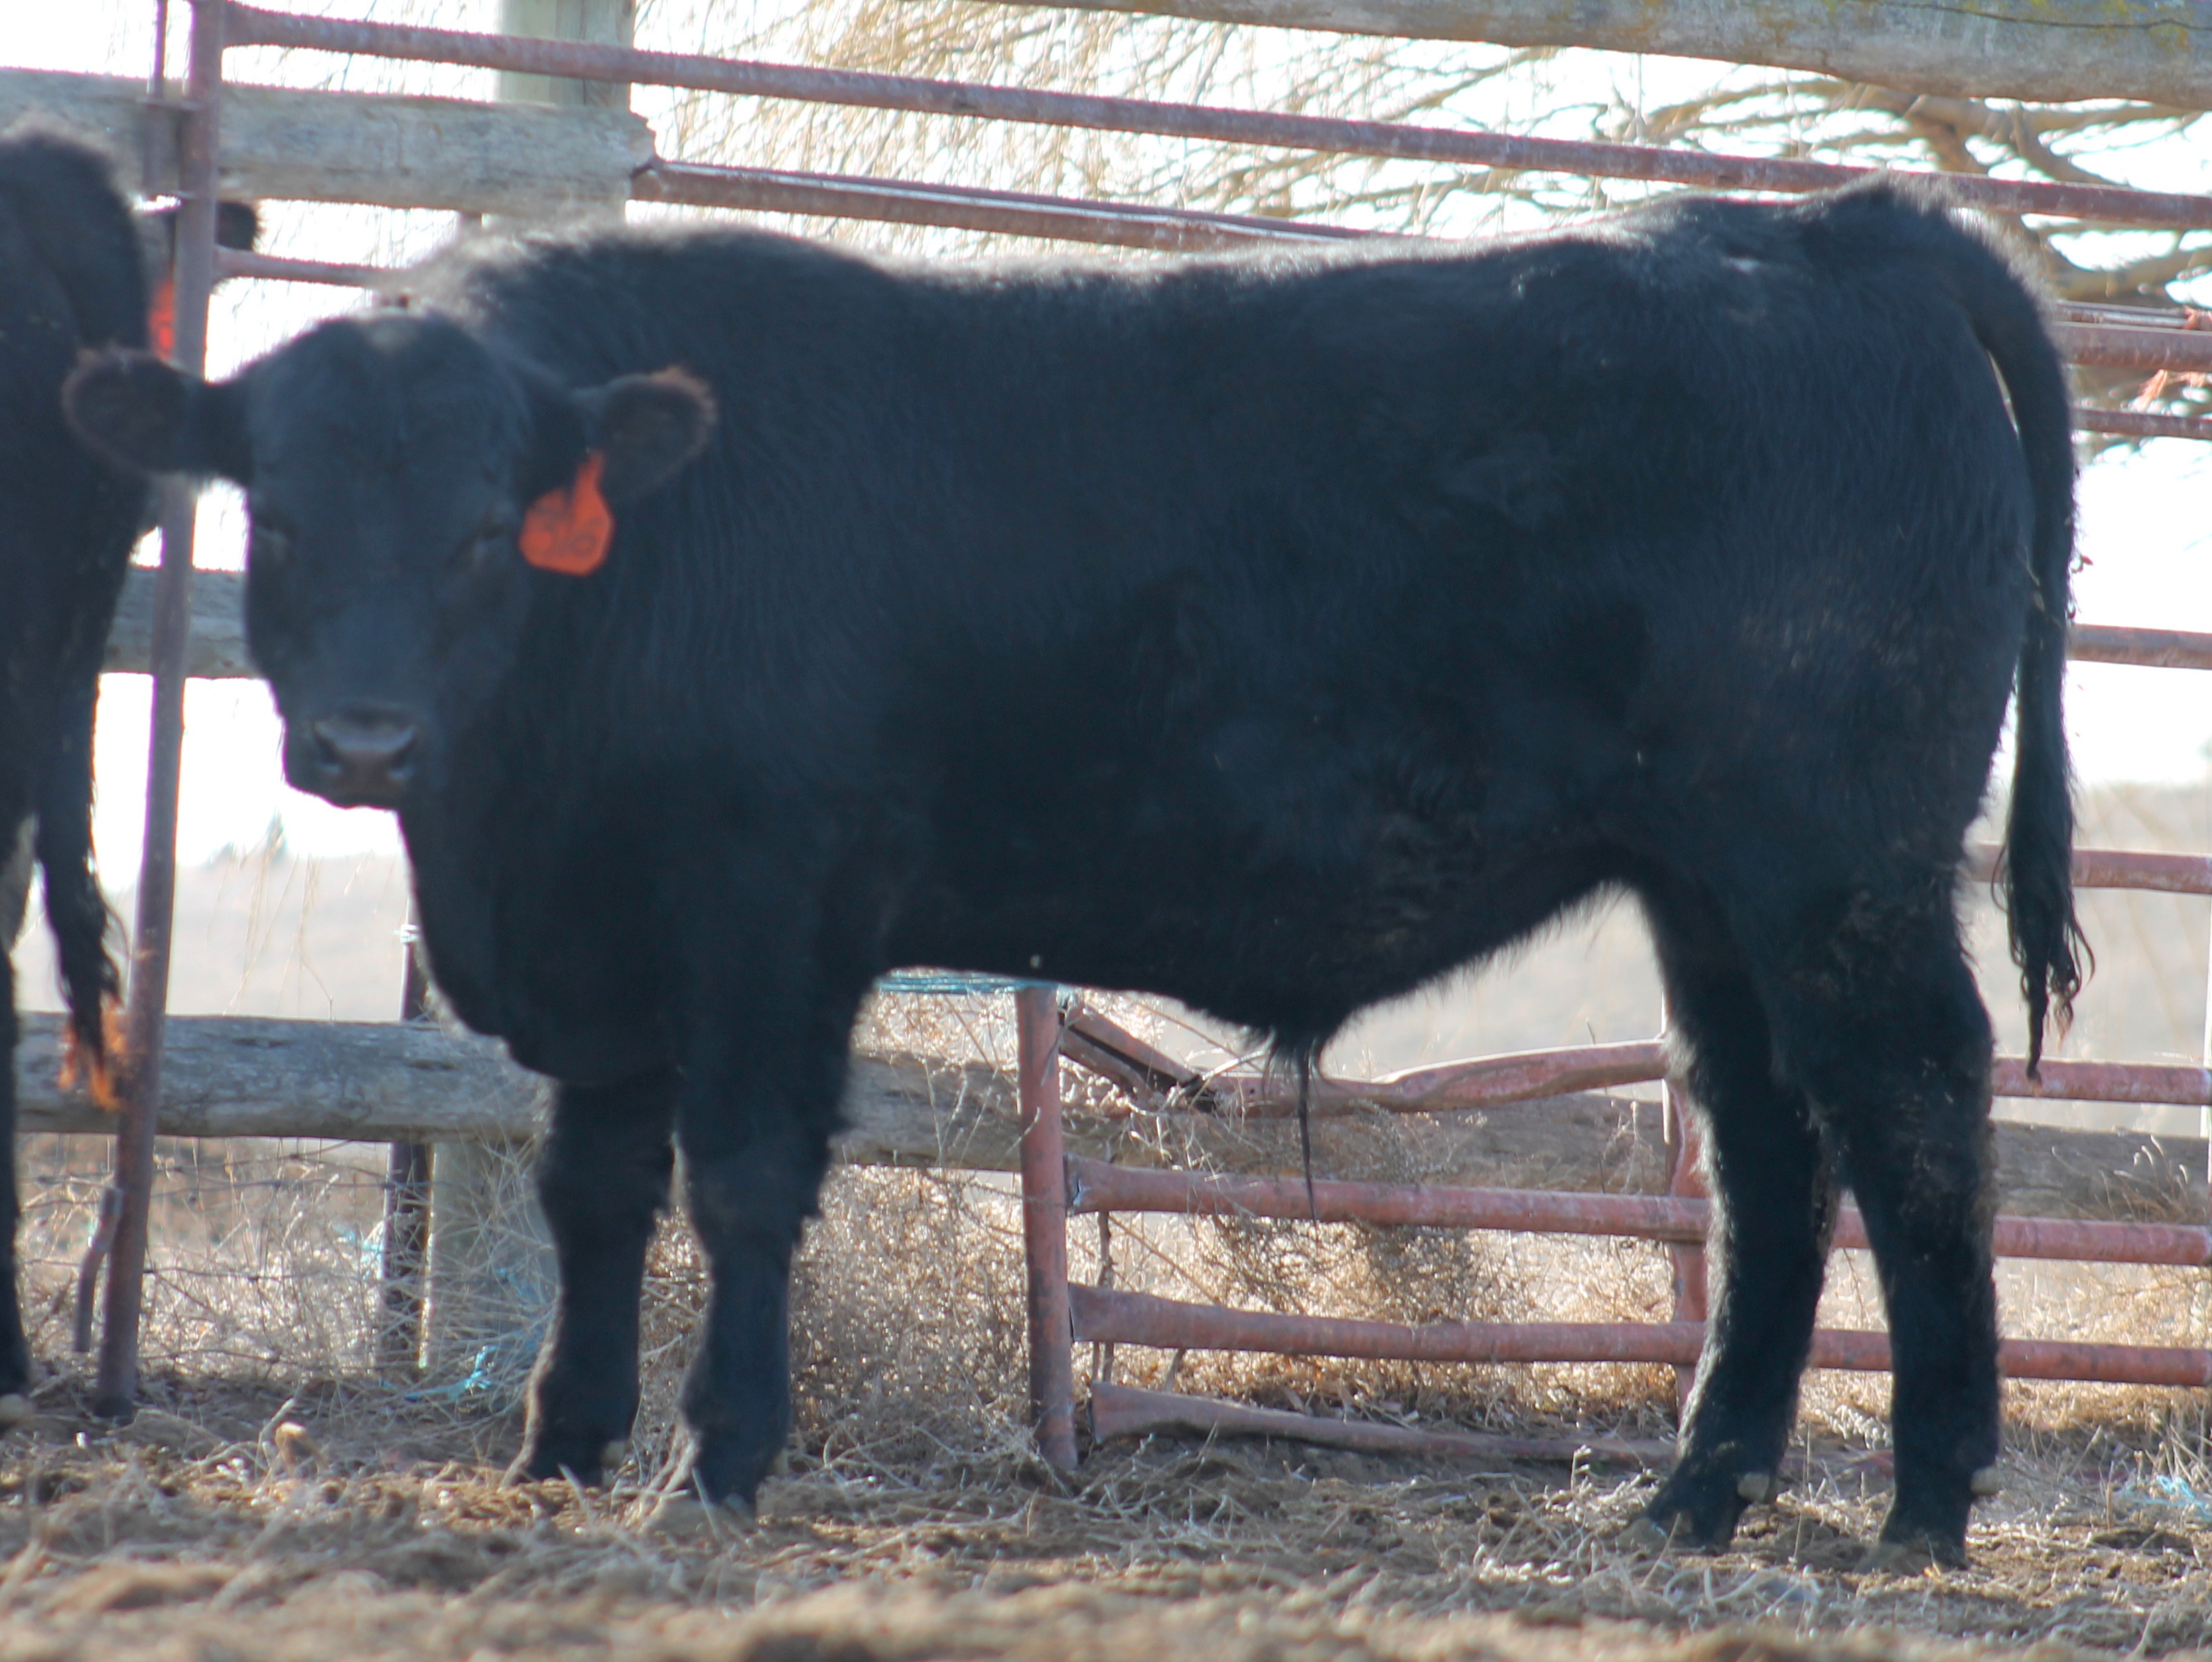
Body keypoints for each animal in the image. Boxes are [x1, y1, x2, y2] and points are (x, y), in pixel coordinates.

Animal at [64, 176, 2082, 1568]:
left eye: (493, 527)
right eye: (277, 512)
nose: (365, 741)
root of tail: (1826, 230)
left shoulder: (772, 912)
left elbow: (740, 1183)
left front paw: (716, 1459)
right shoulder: (607, 949)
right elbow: (590, 1195)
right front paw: (559, 1450)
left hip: (1833, 862)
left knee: (1914, 1109)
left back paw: (1924, 1499)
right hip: (1707, 886)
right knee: (1763, 1149)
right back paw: (1690, 1492)